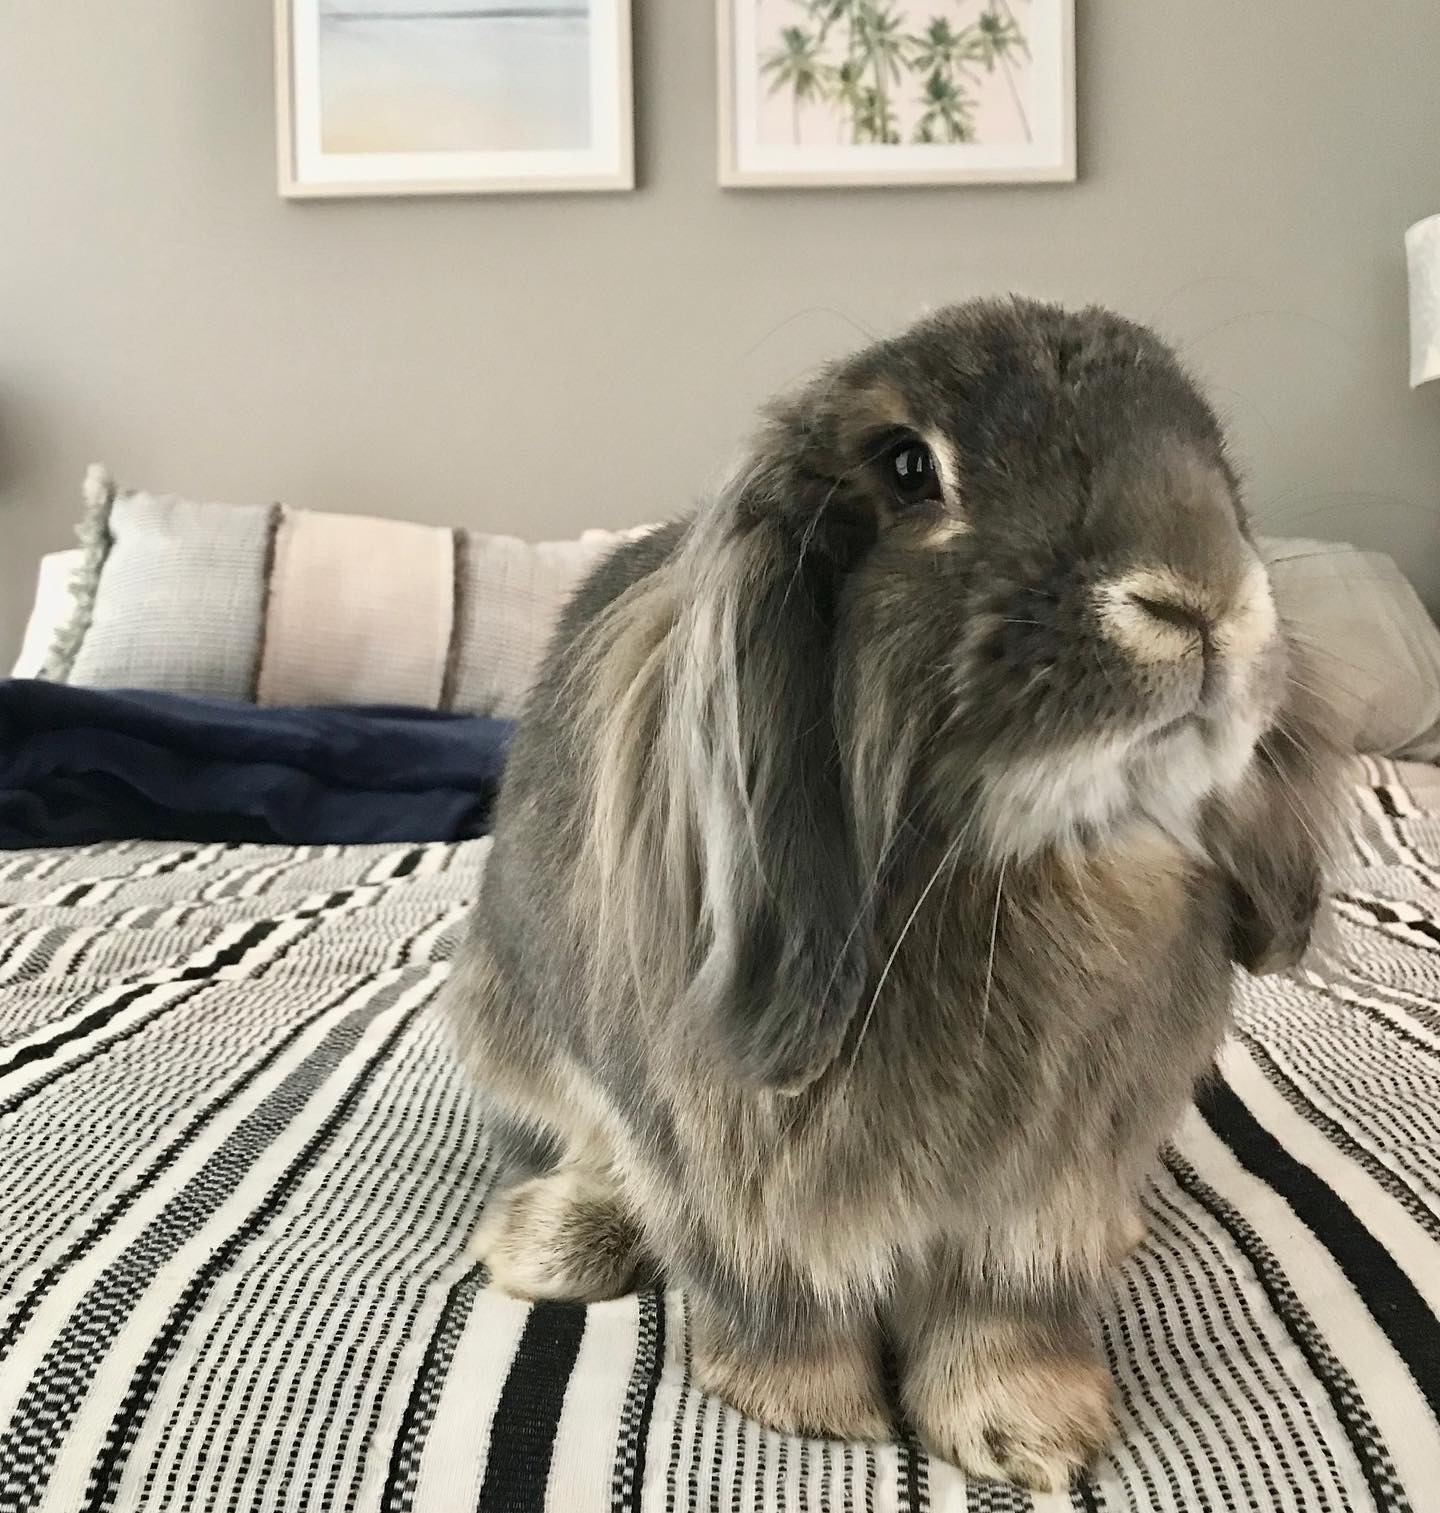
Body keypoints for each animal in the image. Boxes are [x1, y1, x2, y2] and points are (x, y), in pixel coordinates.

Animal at [442, 297, 1342, 1492]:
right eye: (911, 468)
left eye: (1213, 450)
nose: (1199, 599)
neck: (1020, 873)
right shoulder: (735, 1178)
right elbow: (772, 1292)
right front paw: (812, 1411)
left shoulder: (1046, 1194)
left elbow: (1006, 1314)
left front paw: (1031, 1432)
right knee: (579, 1149)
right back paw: (554, 1244)